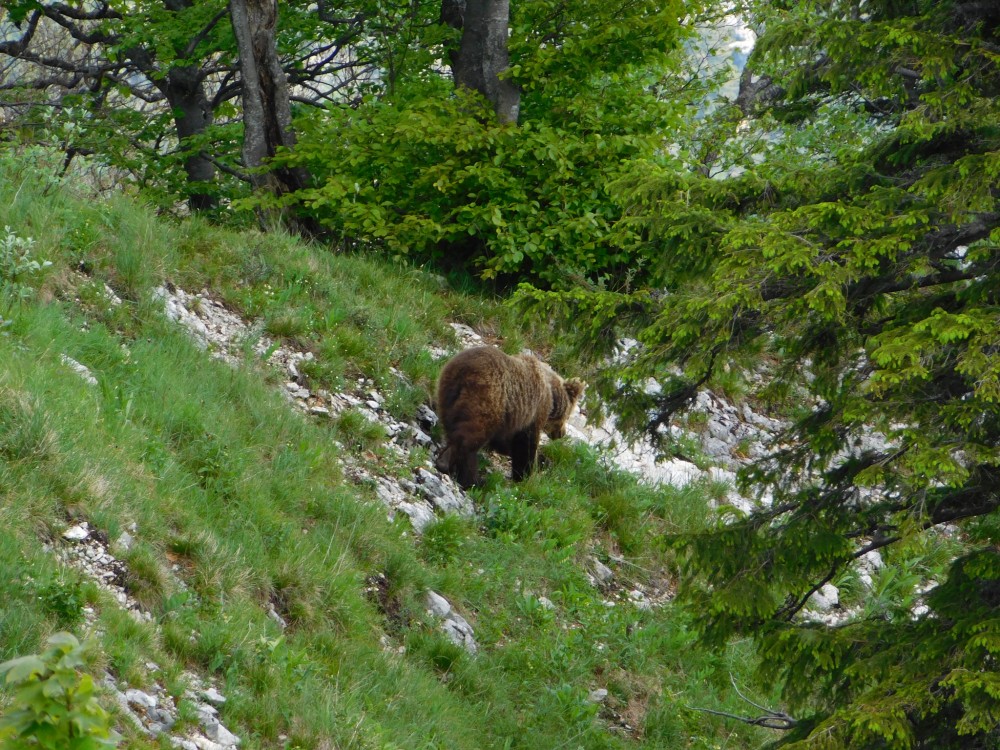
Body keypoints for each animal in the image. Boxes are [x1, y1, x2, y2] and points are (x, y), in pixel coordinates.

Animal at [432, 346, 584, 488]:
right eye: (568, 417)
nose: (562, 434)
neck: (552, 394)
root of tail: (463, 369)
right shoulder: (534, 412)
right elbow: (526, 444)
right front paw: (526, 475)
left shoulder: (510, 418)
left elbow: (506, 442)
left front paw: (541, 460)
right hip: (488, 398)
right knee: (471, 437)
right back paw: (473, 479)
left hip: (447, 393)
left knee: (451, 428)